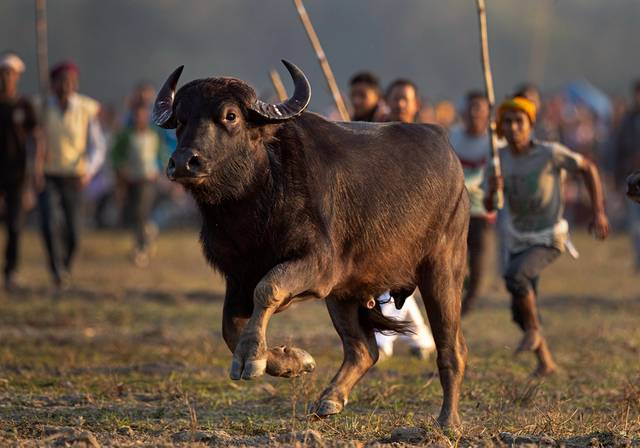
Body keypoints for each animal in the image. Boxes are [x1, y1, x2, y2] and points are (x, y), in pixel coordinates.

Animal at [152, 61, 468, 428]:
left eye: (230, 116)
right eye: (181, 119)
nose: (183, 162)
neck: (257, 200)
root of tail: (452, 159)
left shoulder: (317, 266)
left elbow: (268, 289)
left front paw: (253, 358)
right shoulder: (238, 276)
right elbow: (230, 327)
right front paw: (293, 361)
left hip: (442, 268)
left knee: (451, 349)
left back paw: (448, 421)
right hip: (346, 291)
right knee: (363, 349)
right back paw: (330, 399)